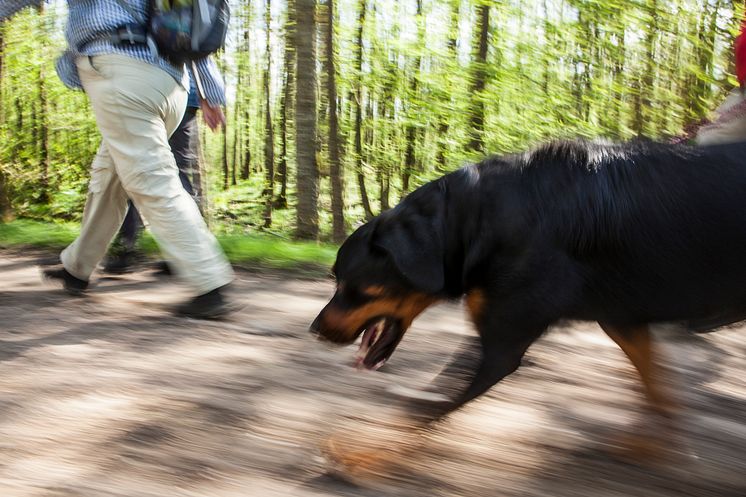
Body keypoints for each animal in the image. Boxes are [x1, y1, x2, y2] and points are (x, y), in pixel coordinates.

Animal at [308, 137, 744, 462]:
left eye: (353, 288)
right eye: (335, 280)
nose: (314, 330)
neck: (477, 221)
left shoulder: (503, 343)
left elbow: (424, 409)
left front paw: (364, 454)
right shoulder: (622, 319)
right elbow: (657, 386)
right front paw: (652, 446)